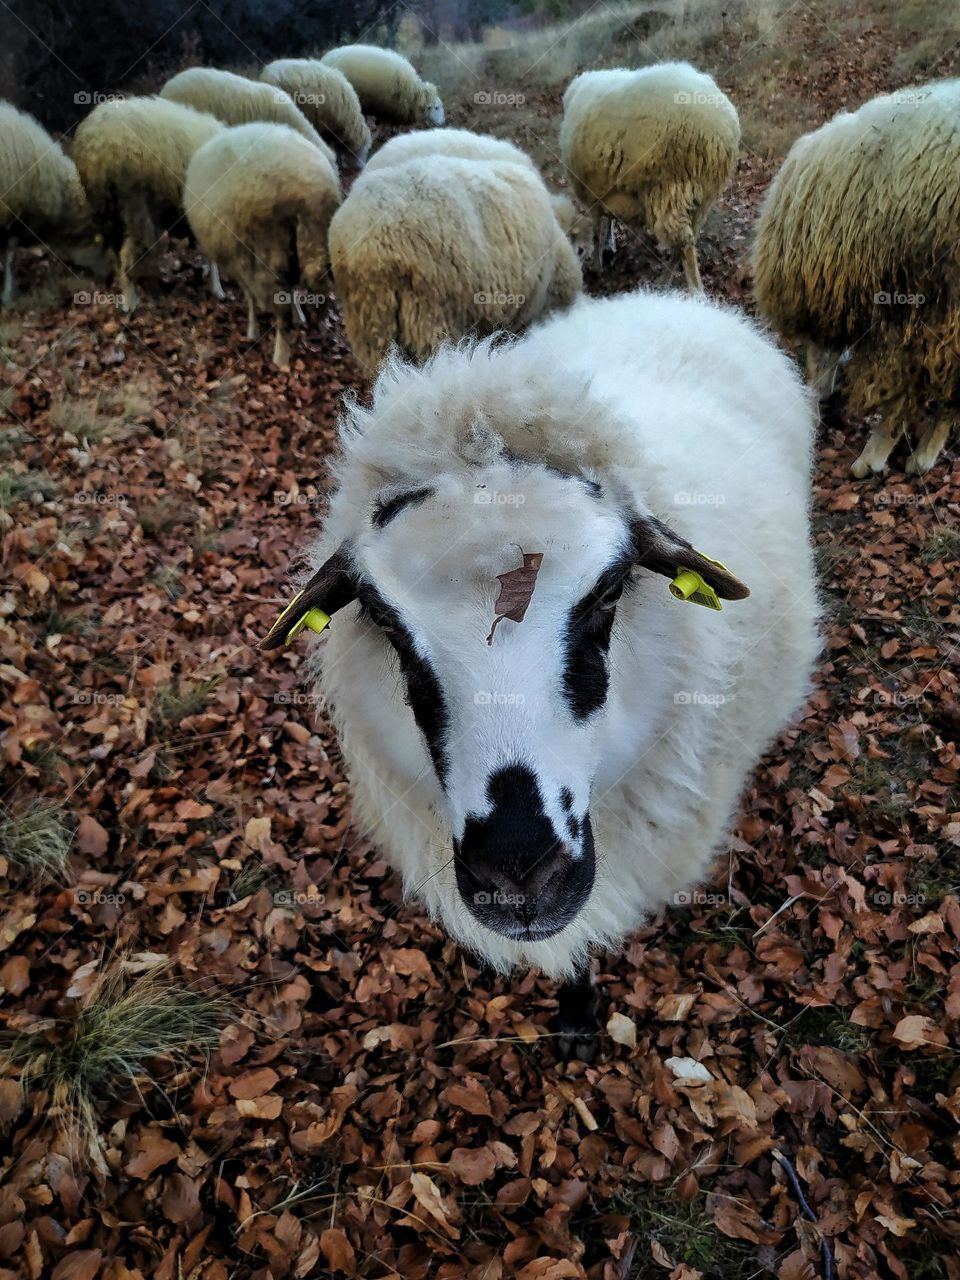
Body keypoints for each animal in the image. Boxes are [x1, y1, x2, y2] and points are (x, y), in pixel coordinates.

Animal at [73, 96, 223, 312]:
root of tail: (99, 145)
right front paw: (217, 288)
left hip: (106, 207)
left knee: (115, 249)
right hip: (134, 202)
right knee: (126, 253)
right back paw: (130, 302)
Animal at [185, 123, 341, 370]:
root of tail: (304, 191)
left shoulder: (242, 254)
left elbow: (249, 296)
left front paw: (252, 329)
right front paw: (299, 315)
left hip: (268, 249)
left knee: (280, 308)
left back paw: (280, 357)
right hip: (312, 238)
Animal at [560, 62, 740, 289]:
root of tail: (720, 131)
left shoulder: (591, 191)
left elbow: (596, 230)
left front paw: (597, 264)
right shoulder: (602, 190)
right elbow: (605, 222)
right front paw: (608, 247)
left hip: (670, 188)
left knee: (683, 242)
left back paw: (692, 288)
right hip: (706, 197)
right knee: (688, 239)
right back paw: (665, 280)